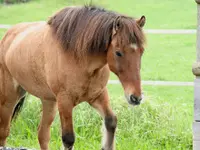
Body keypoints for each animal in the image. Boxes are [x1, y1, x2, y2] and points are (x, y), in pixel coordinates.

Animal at [0, 5, 145, 149]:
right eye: (118, 52)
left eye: (141, 51)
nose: (135, 97)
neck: (80, 58)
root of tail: (8, 35)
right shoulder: (65, 101)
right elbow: (68, 138)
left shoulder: (98, 95)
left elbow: (111, 122)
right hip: (10, 98)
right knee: (4, 131)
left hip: (49, 102)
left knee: (42, 135)